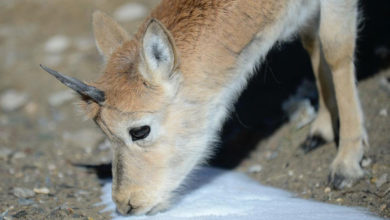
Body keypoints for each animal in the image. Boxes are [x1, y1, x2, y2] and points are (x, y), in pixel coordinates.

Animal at [41, 0, 368, 215]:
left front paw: (347, 163)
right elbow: (312, 40)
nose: (126, 204)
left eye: (140, 130)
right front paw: (321, 130)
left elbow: (335, 46)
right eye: (103, 132)